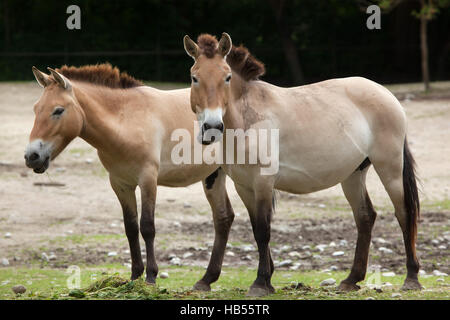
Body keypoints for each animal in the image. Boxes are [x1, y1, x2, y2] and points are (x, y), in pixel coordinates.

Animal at [24, 63, 236, 288]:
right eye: (36, 109)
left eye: (58, 110)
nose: (31, 156)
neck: (126, 121)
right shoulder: (120, 184)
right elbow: (131, 228)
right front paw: (135, 276)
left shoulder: (148, 180)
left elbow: (147, 226)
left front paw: (151, 276)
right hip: (214, 176)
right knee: (223, 218)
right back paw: (206, 280)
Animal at [183, 32, 422, 296]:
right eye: (194, 77)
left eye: (227, 77)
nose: (212, 127)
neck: (248, 119)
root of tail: (385, 93)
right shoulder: (244, 186)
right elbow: (256, 229)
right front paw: (266, 279)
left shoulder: (263, 183)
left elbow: (263, 230)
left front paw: (261, 282)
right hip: (353, 175)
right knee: (365, 217)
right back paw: (351, 280)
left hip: (390, 168)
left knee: (404, 213)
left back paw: (411, 278)